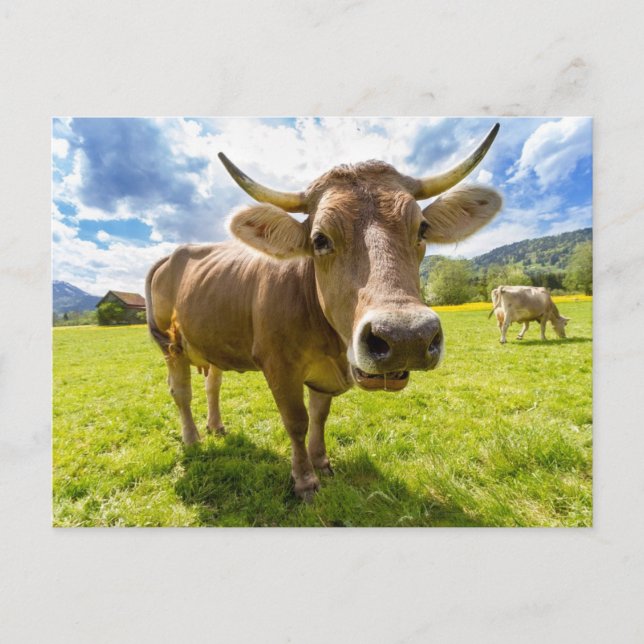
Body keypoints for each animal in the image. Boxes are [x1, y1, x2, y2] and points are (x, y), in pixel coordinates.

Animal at [146, 124, 503, 500]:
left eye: (422, 228)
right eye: (319, 239)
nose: (407, 337)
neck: (330, 344)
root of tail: (175, 253)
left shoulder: (323, 375)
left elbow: (319, 416)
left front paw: (322, 462)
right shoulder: (278, 366)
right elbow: (297, 421)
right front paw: (305, 479)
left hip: (211, 340)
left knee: (212, 384)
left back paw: (216, 426)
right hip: (171, 345)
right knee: (181, 392)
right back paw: (192, 438)